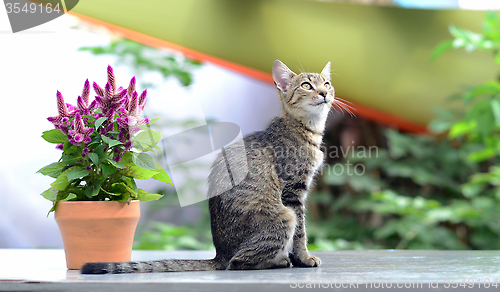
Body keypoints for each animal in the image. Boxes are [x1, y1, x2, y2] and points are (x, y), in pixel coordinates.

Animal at [80, 60, 334, 274]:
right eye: (306, 85)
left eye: (327, 84)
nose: (324, 93)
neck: (307, 128)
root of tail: (219, 254)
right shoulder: (292, 191)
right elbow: (301, 233)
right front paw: (304, 258)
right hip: (284, 215)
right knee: (238, 263)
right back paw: (279, 261)